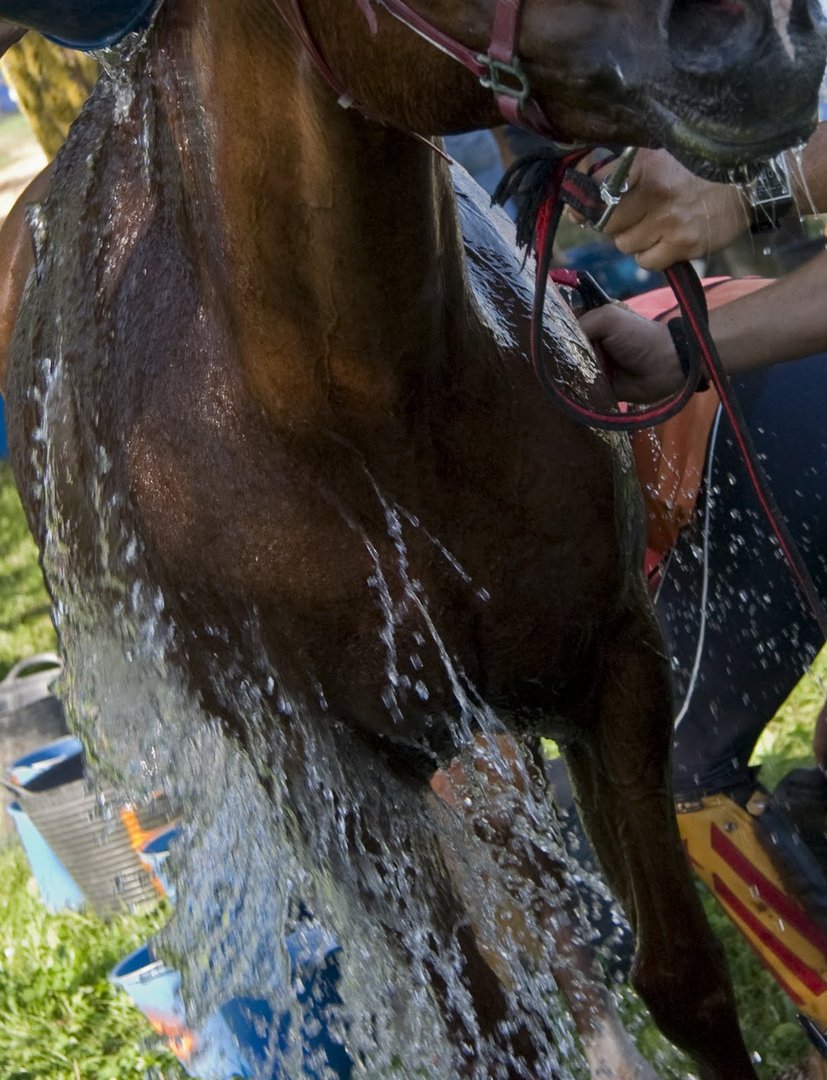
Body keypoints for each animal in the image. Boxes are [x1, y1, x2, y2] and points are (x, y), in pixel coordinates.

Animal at [1, 0, 827, 1075]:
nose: (765, 37)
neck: (353, 408)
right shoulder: (337, 791)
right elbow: (488, 1034)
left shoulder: (612, 665)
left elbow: (683, 977)